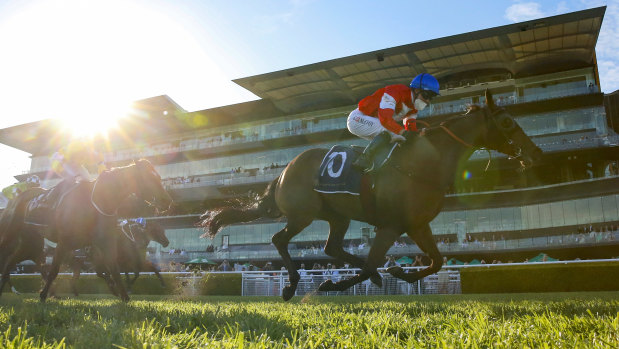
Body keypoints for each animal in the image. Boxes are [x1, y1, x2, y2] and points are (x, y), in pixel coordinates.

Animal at [0, 159, 172, 300]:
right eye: (149, 177)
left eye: (158, 176)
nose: (167, 201)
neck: (95, 202)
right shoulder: (64, 242)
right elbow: (54, 271)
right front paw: (42, 296)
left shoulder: (106, 244)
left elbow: (115, 270)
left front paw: (124, 296)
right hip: (12, 234)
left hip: (31, 244)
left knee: (10, 264)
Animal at [202, 89, 544, 300]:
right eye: (507, 122)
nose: (536, 154)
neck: (424, 164)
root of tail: (285, 169)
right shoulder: (391, 226)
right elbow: (370, 265)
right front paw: (333, 282)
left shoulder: (417, 225)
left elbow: (436, 262)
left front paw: (395, 271)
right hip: (303, 213)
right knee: (279, 239)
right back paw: (292, 285)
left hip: (336, 216)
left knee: (332, 247)